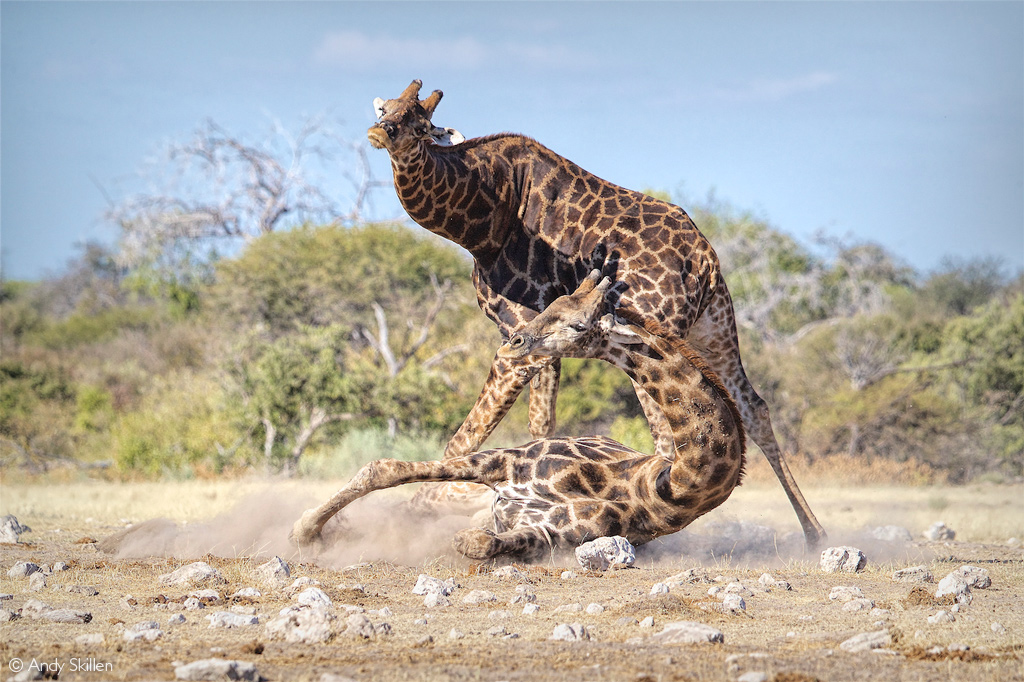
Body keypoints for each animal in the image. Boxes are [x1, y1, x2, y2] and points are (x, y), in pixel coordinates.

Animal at [288, 268, 745, 561]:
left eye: (579, 326)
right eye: (554, 302)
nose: (514, 342)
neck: (661, 489)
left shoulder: (553, 536)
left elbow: (478, 542)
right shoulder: (503, 460)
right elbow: (384, 469)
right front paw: (305, 531)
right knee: (414, 501)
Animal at [364, 79, 827, 548]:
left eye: (421, 125)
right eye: (386, 109)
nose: (379, 133)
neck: (482, 218)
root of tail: (703, 262)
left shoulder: (517, 332)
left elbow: (465, 439)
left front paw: (413, 513)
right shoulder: (531, 336)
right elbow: (540, 423)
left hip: (659, 329)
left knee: (668, 430)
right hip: (714, 329)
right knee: (753, 407)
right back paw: (814, 534)